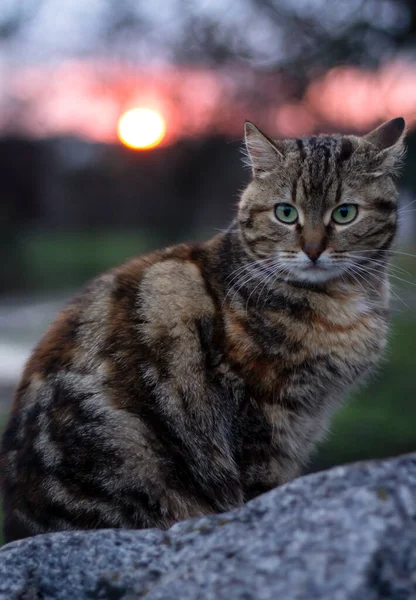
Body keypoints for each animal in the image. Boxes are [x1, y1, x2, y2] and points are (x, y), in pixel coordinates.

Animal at [0, 115, 404, 540]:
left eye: (344, 213)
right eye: (285, 212)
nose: (312, 250)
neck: (339, 302)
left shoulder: (304, 421)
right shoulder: (260, 414)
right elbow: (261, 485)